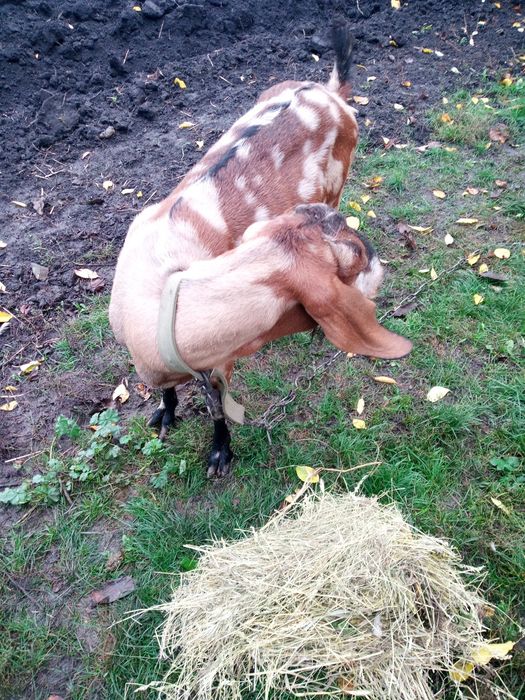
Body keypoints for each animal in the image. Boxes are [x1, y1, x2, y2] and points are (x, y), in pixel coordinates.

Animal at [109, 25, 390, 475]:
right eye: (351, 262)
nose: (375, 254)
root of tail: (331, 92)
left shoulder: (219, 360)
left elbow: (218, 407)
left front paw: (220, 455)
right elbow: (171, 395)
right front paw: (166, 414)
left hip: (338, 179)